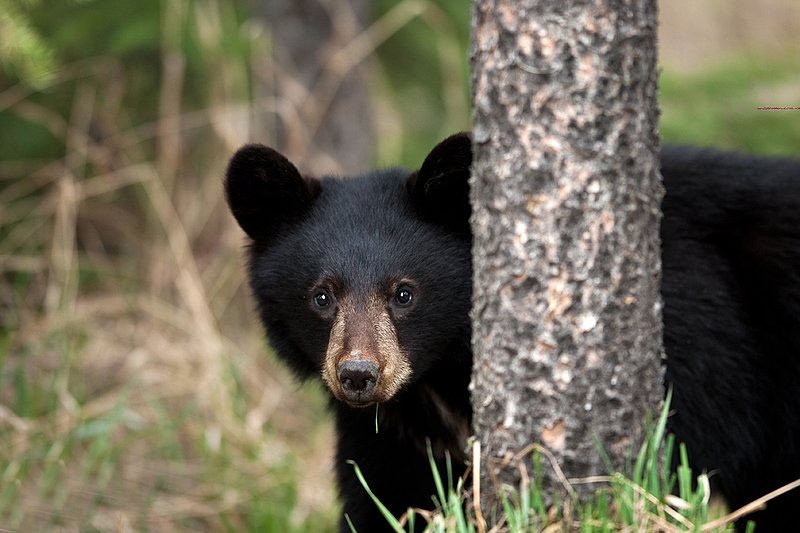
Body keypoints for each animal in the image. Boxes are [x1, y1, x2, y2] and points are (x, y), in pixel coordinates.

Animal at [224, 133, 800, 532]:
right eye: (322, 297)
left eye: (404, 293)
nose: (360, 375)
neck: (439, 380)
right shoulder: (392, 436)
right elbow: (385, 498)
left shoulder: (701, 355)